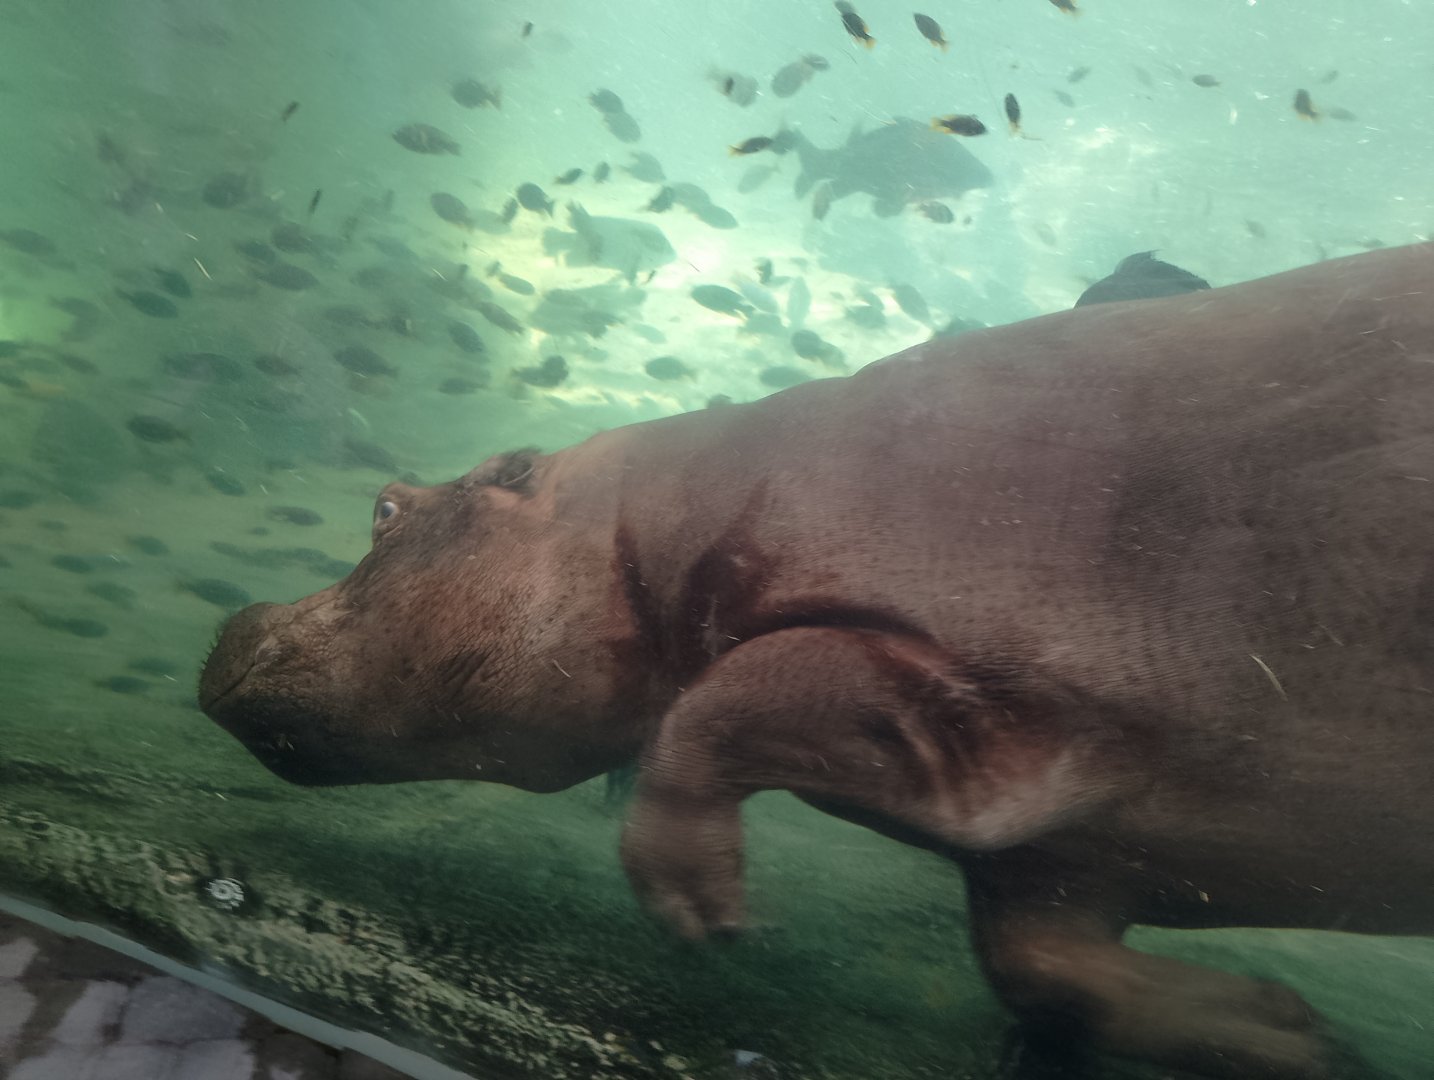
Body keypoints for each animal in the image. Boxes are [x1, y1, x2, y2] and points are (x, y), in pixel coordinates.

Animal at [200, 243, 1434, 1079]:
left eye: (384, 508)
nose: (230, 623)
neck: (648, 520)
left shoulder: (949, 668)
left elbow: (727, 700)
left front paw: (705, 920)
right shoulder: (1064, 853)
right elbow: (1042, 972)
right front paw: (1298, 1038)